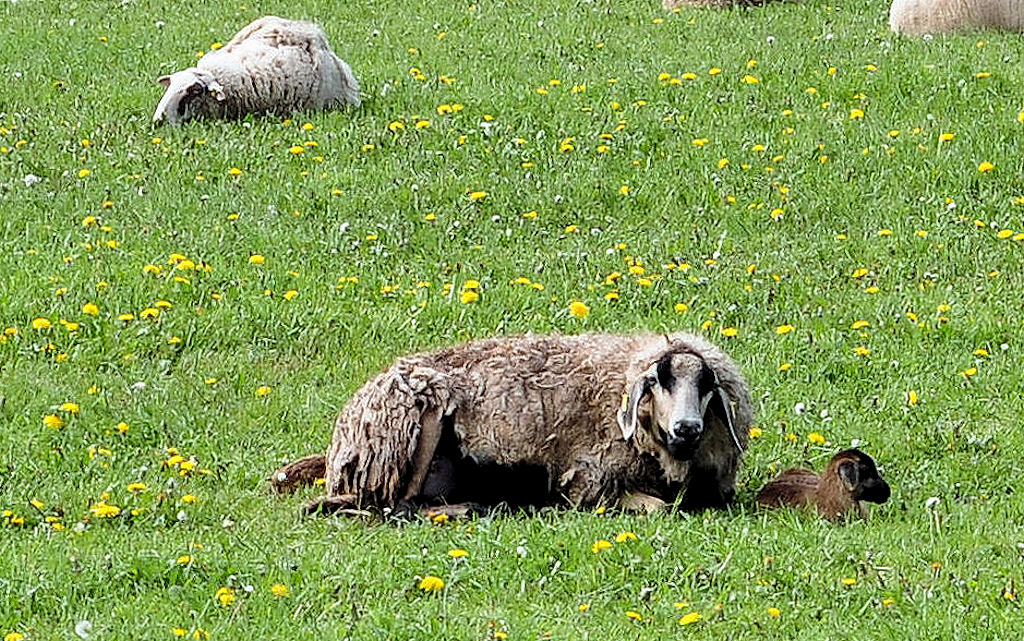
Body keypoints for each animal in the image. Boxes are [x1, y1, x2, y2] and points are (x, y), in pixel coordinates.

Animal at [272, 329, 753, 514]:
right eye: (656, 380)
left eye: (707, 384)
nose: (687, 429)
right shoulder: (587, 483)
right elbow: (657, 509)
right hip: (420, 416)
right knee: (395, 507)